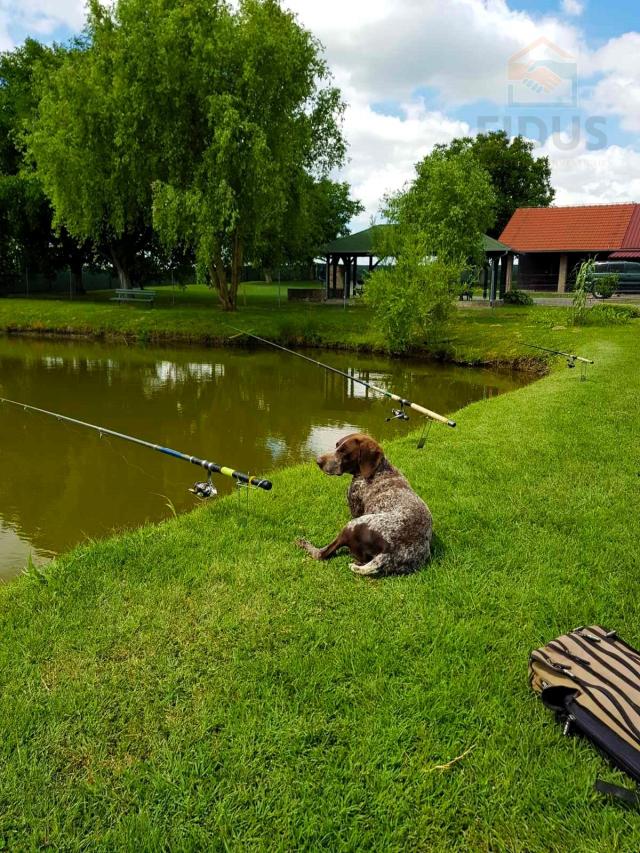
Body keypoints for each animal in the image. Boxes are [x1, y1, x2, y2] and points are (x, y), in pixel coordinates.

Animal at [298, 432, 432, 580]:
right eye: (336, 445)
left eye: (343, 452)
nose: (318, 461)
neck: (378, 469)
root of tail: (387, 554)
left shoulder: (355, 508)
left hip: (352, 525)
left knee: (322, 553)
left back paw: (304, 544)